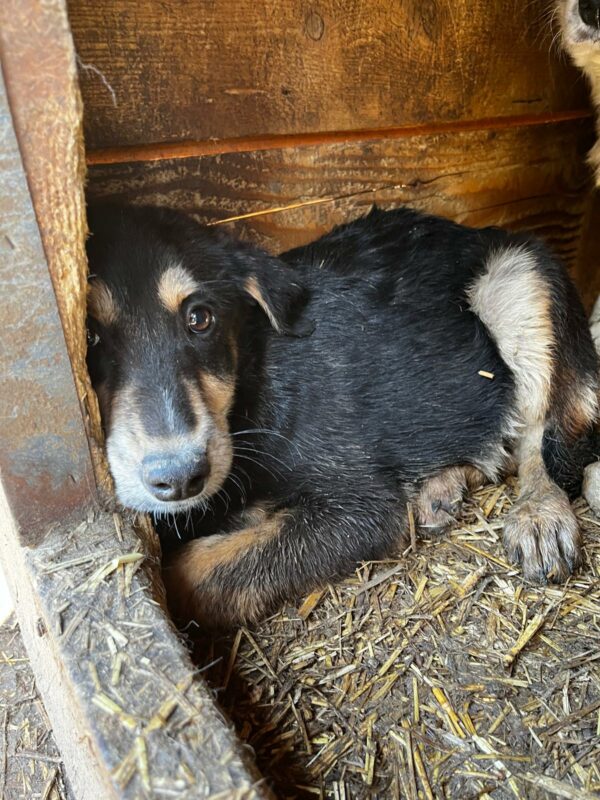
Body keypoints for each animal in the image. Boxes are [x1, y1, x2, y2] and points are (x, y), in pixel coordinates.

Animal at [86, 203, 596, 628]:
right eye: (89, 338)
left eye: (199, 318)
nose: (179, 477)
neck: (251, 388)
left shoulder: (361, 507)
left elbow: (197, 571)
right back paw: (439, 490)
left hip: (518, 278)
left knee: (539, 434)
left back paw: (539, 514)